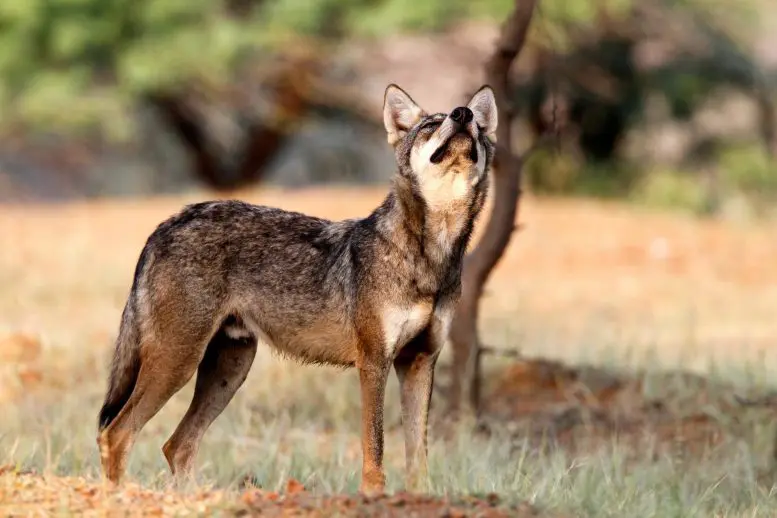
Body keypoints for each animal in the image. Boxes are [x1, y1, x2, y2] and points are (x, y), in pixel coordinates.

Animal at [96, 83, 497, 495]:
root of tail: (167, 223)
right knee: (116, 434)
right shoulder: (373, 363)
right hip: (178, 362)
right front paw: (373, 496)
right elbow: (375, 447)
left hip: (228, 370)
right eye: (432, 125)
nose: (463, 114)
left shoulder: (420, 362)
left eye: (478, 128)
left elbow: (418, 458)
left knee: (176, 445)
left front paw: (420, 498)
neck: (431, 254)